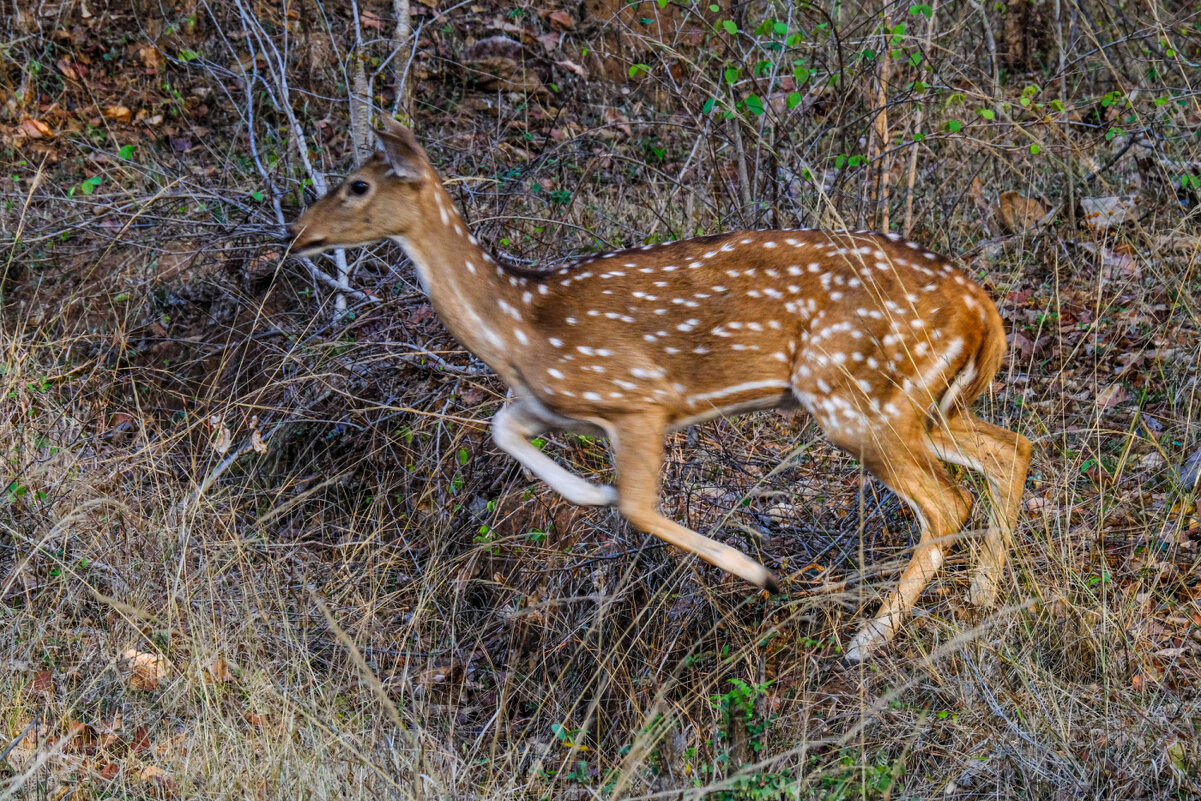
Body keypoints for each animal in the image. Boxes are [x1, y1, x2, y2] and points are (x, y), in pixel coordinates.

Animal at [290, 117, 1032, 658]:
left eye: (356, 185)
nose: (297, 233)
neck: (519, 327)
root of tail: (984, 311)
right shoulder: (547, 403)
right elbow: (504, 432)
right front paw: (590, 492)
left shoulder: (639, 399)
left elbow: (640, 508)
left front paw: (762, 575)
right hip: (923, 402)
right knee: (1009, 449)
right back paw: (981, 596)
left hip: (853, 396)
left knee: (948, 501)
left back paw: (866, 641)